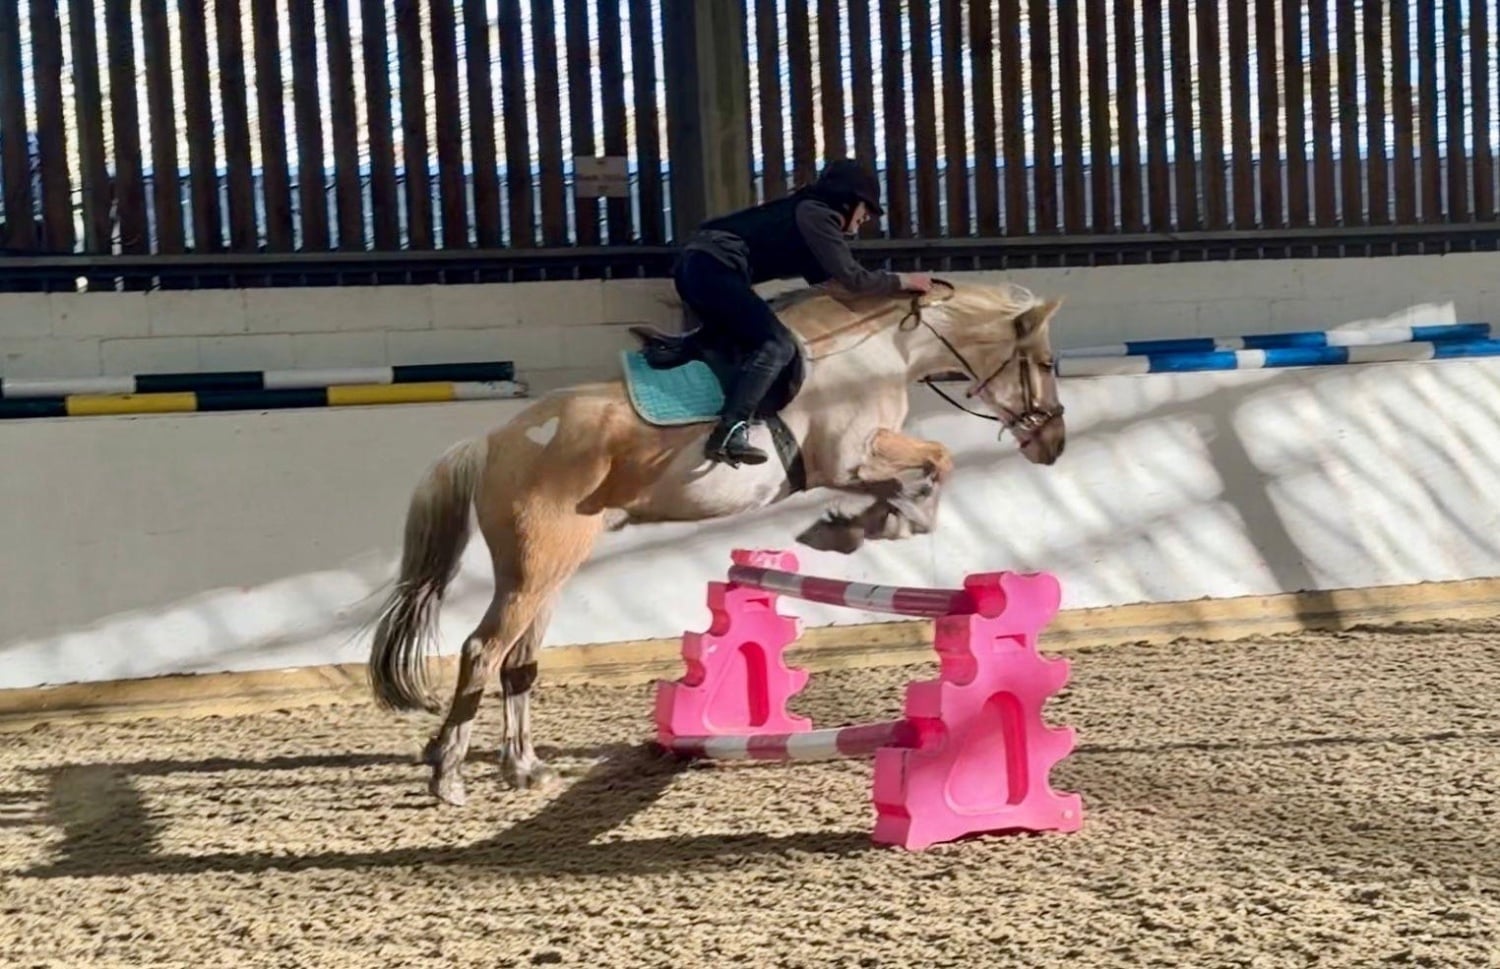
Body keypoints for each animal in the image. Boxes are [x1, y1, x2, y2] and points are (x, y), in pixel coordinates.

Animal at [366, 275, 1068, 806]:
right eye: (1044, 363)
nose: (1053, 444)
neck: (881, 352)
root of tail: (492, 441)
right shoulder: (849, 458)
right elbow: (938, 460)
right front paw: (881, 522)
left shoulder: (851, 466)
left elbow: (915, 476)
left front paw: (854, 525)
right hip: (536, 569)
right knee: (483, 651)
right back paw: (449, 776)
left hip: (547, 571)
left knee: (518, 662)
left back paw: (522, 767)